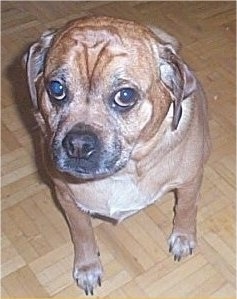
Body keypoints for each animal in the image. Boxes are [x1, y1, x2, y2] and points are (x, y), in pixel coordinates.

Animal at [23, 16, 209, 296]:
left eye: (125, 96)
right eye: (56, 88)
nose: (77, 144)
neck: (124, 171)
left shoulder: (188, 182)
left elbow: (186, 209)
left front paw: (183, 237)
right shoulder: (67, 199)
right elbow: (82, 234)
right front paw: (88, 267)